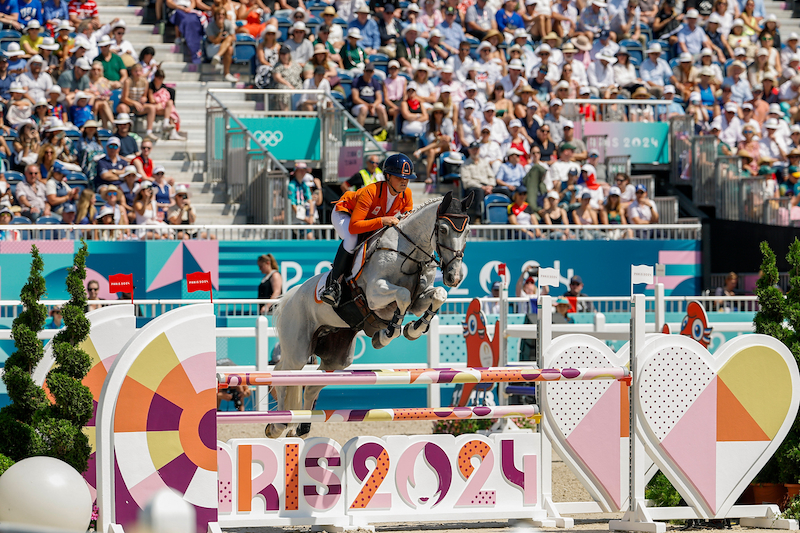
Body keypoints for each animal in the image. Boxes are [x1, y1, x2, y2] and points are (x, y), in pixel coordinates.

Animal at [267, 191, 473, 438]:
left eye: (467, 231)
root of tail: (288, 298)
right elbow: (403, 296)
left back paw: (302, 427)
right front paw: (386, 334)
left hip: (337, 358)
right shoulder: (376, 294)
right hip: (297, 348)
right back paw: (278, 425)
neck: (410, 252)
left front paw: (414, 329)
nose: (454, 277)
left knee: (310, 386)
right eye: (443, 229)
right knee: (283, 374)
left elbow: (438, 295)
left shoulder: (419, 300)